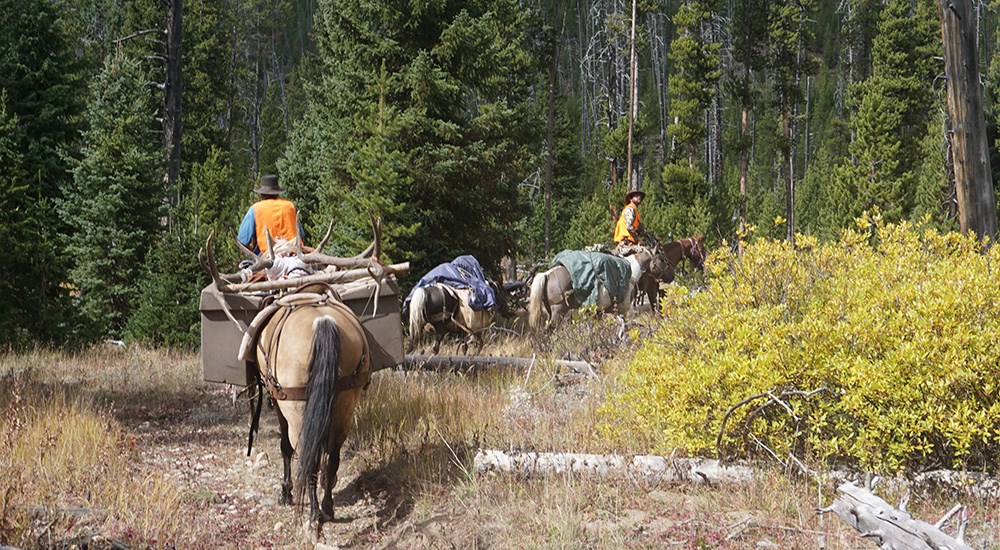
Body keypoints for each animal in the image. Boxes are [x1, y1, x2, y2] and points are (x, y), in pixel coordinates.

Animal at [524, 249, 672, 332]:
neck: (630, 272)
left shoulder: (600, 312)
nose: (671, 276)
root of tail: (546, 274)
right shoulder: (622, 310)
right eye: (663, 260)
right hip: (558, 312)